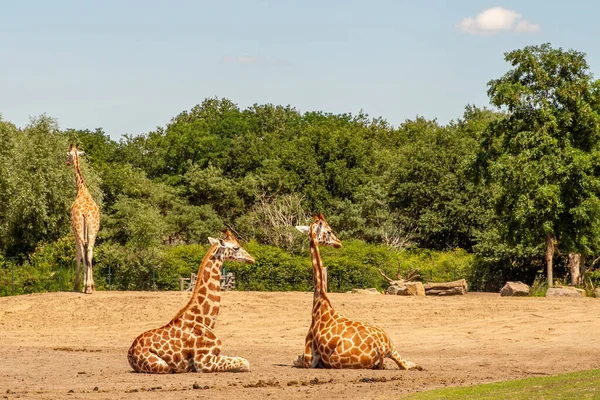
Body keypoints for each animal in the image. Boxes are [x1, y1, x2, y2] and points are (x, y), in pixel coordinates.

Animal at [126, 230, 255, 374]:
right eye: (236, 247)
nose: (252, 259)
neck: (205, 320)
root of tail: (130, 352)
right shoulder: (203, 361)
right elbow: (245, 363)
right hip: (164, 366)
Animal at [292, 214, 420, 370]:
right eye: (329, 231)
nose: (339, 243)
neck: (320, 303)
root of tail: (379, 347)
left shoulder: (309, 359)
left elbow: (297, 359)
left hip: (336, 361)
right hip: (392, 346)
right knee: (407, 365)